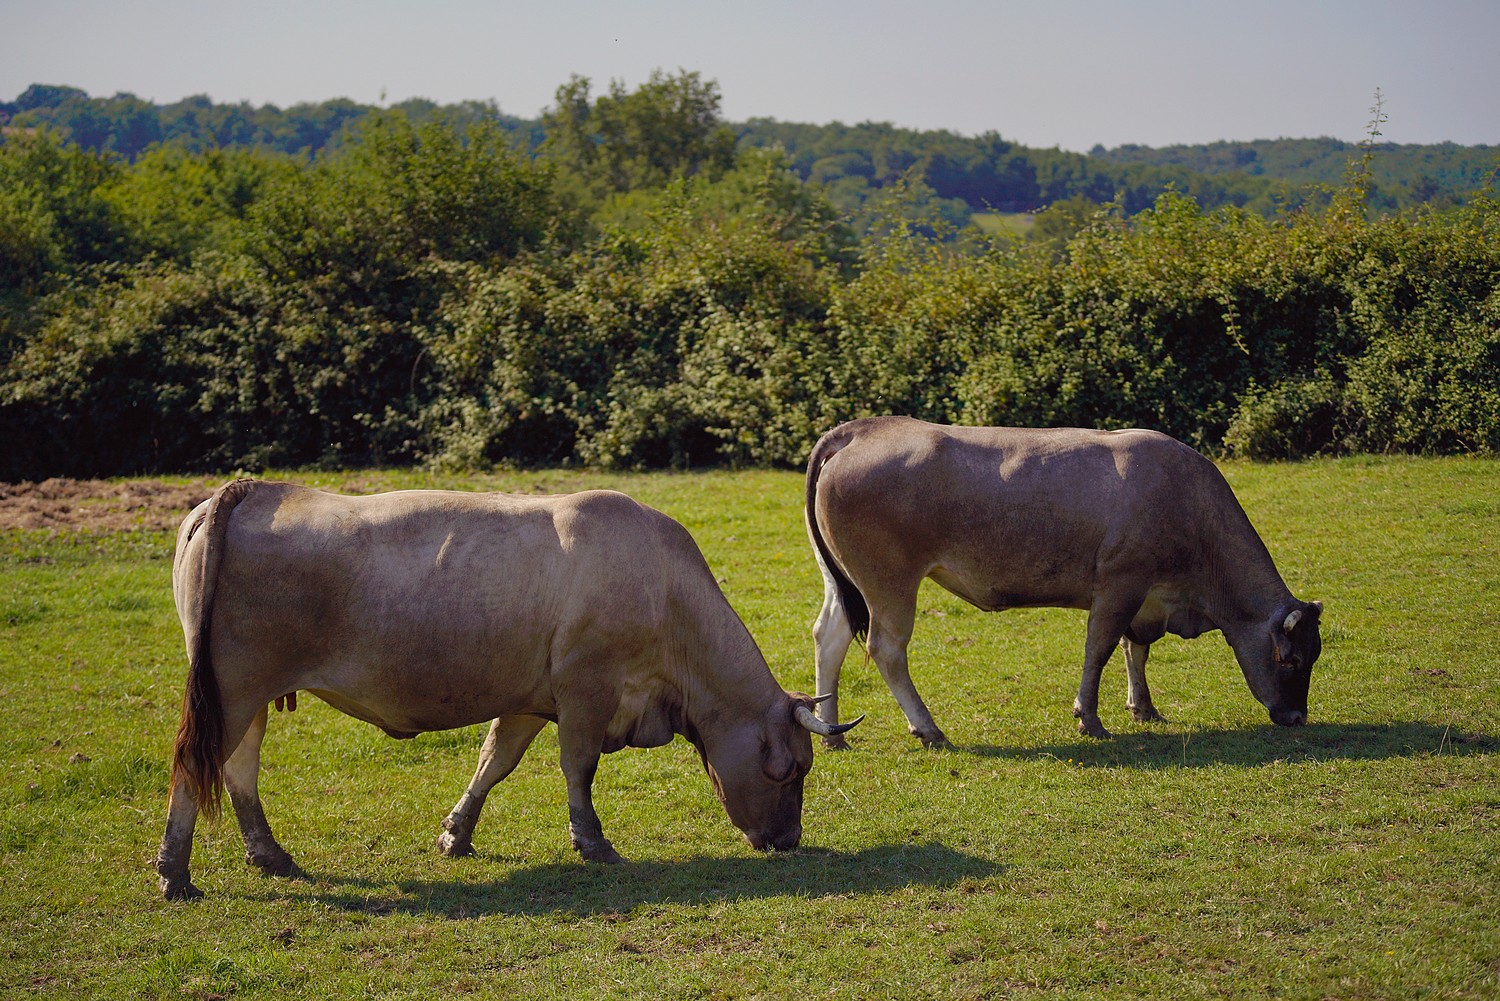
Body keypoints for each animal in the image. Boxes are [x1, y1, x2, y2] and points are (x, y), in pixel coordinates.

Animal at [158, 477, 858, 900]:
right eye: (789, 769)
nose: (787, 842)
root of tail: (252, 489)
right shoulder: (586, 689)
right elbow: (577, 768)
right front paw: (593, 843)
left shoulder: (531, 698)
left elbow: (494, 763)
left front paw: (455, 835)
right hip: (232, 689)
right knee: (195, 768)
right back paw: (175, 875)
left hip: (247, 694)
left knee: (239, 768)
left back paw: (270, 855)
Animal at [810, 417, 1326, 750]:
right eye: (1292, 659)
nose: (1298, 718)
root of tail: (866, 428)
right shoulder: (1120, 584)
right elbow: (1100, 649)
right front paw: (1090, 719)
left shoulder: (1146, 598)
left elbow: (1135, 650)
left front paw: (1144, 708)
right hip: (888, 583)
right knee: (886, 648)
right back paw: (929, 729)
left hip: (843, 583)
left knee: (829, 637)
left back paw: (832, 733)